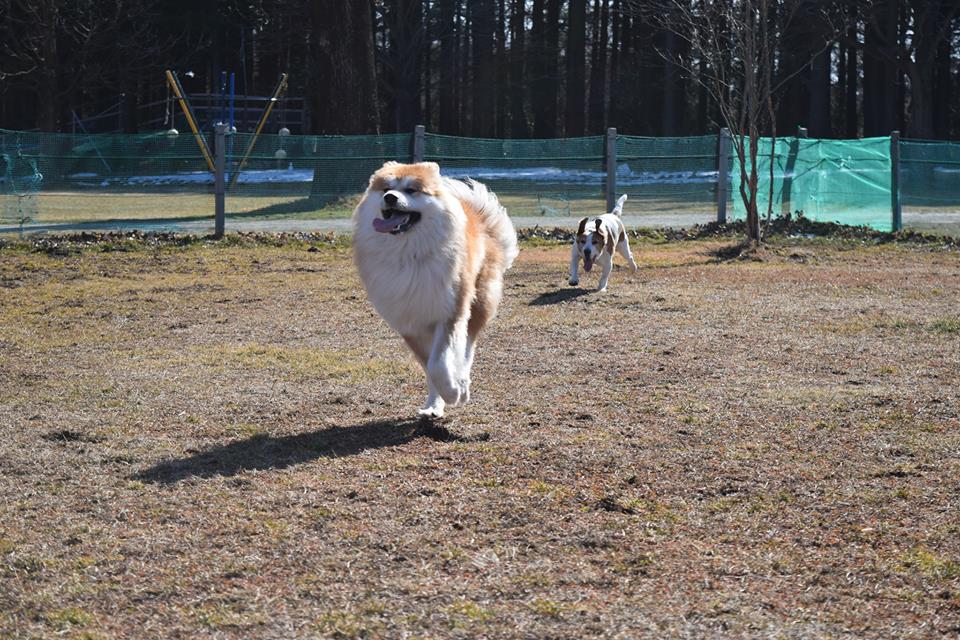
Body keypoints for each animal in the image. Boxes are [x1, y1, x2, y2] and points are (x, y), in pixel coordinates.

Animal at [352, 162, 516, 418]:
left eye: (411, 190)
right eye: (386, 189)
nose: (390, 198)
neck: (409, 254)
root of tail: (477, 215)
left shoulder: (450, 314)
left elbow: (439, 364)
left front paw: (454, 392)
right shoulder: (410, 324)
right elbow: (430, 369)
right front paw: (437, 403)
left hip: (477, 302)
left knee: (467, 349)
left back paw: (462, 383)